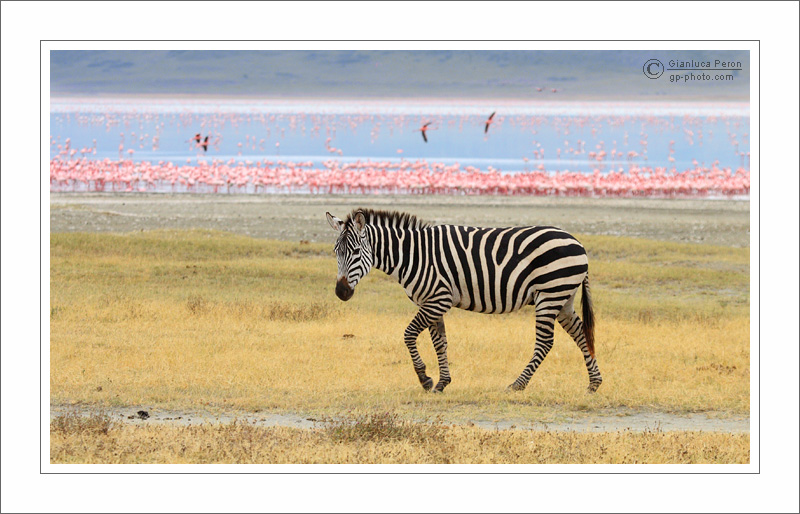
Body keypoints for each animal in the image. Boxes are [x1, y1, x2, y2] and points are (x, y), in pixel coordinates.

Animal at [326, 208, 602, 393]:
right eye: (336, 252)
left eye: (356, 252)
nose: (341, 292)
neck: (412, 255)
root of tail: (577, 242)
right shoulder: (431, 302)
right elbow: (440, 342)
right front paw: (442, 383)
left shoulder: (438, 299)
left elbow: (408, 334)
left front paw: (425, 378)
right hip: (563, 297)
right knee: (581, 333)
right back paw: (594, 383)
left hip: (549, 294)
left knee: (545, 342)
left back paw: (517, 384)